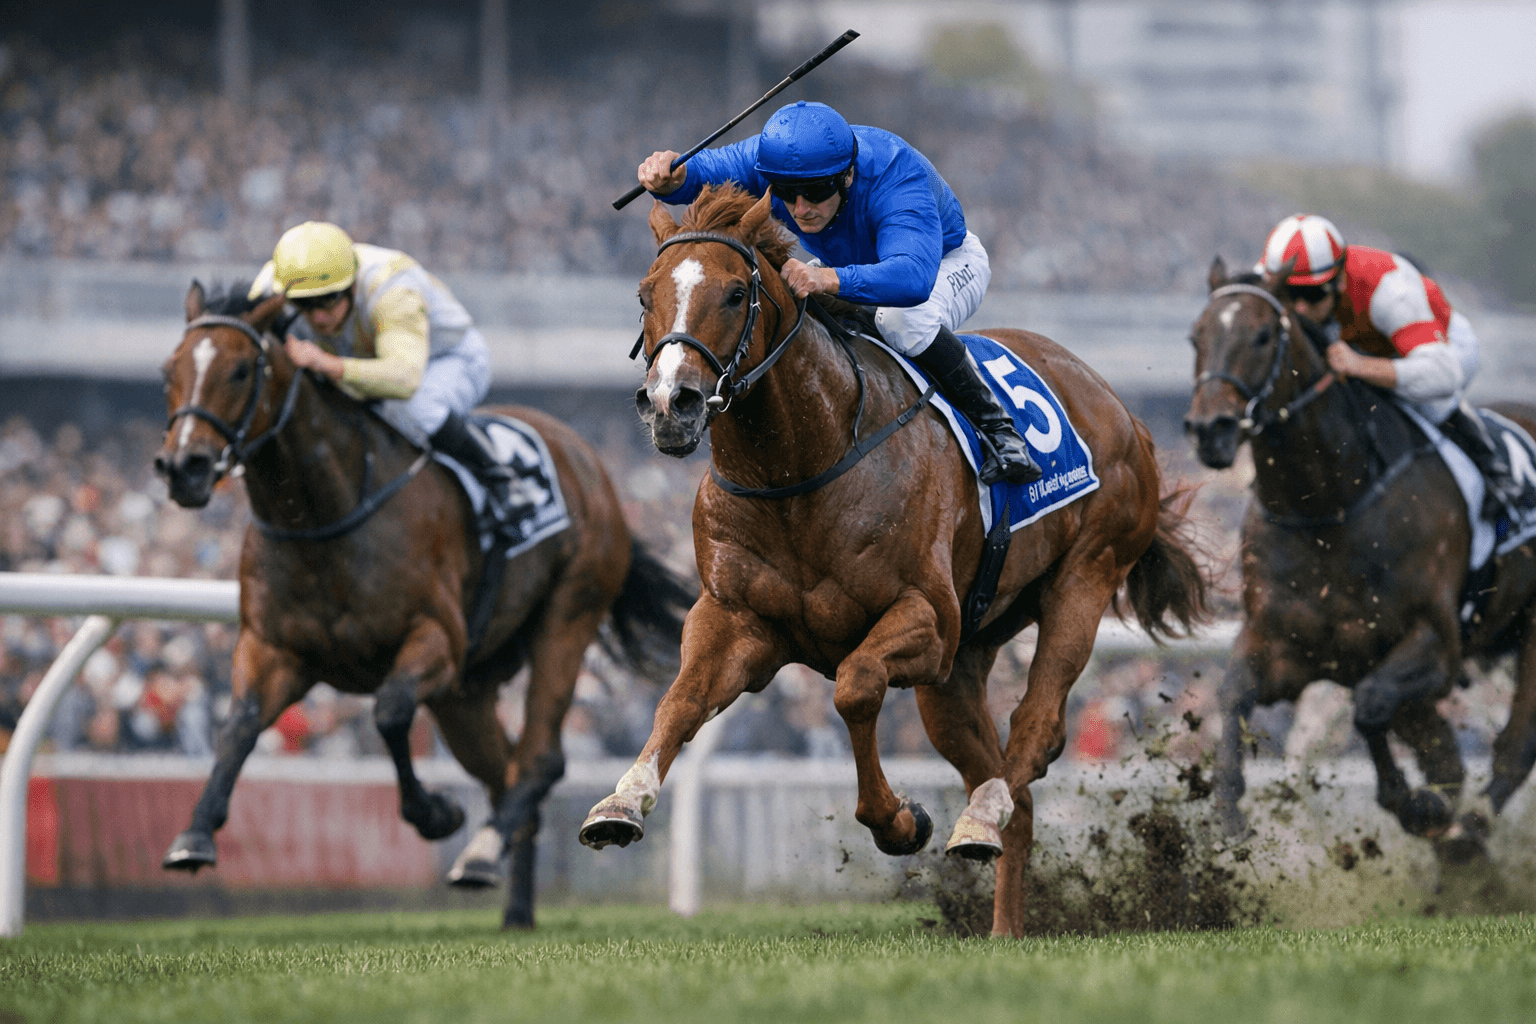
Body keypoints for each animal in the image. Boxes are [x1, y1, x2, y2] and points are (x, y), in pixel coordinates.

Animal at [154, 281, 693, 928]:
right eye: (169, 371)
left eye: (239, 370)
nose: (183, 467)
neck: (324, 517)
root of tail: (589, 462)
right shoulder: (273, 648)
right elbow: (237, 726)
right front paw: (193, 836)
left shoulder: (435, 639)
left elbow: (388, 713)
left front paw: (437, 814)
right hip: (466, 692)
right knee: (507, 770)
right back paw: (514, 903)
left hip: (567, 616)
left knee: (540, 758)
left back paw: (482, 852)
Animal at [576, 185, 1212, 937]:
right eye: (646, 294)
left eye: (734, 294)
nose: (671, 403)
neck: (799, 470)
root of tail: (1119, 405)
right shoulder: (737, 621)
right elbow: (680, 700)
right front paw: (619, 803)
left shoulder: (926, 620)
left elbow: (855, 686)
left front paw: (900, 822)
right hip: (962, 664)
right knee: (1014, 794)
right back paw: (1001, 913)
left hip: (1084, 576)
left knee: (1036, 724)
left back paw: (981, 815)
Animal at [1184, 257, 1536, 858]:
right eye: (1196, 338)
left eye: (1261, 335)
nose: (1212, 430)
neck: (1330, 506)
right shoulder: (1288, 643)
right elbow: (1232, 696)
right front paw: (1229, 813)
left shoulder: (1435, 647)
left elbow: (1370, 706)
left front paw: (1414, 805)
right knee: (1449, 757)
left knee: (1515, 747)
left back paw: (1468, 830)